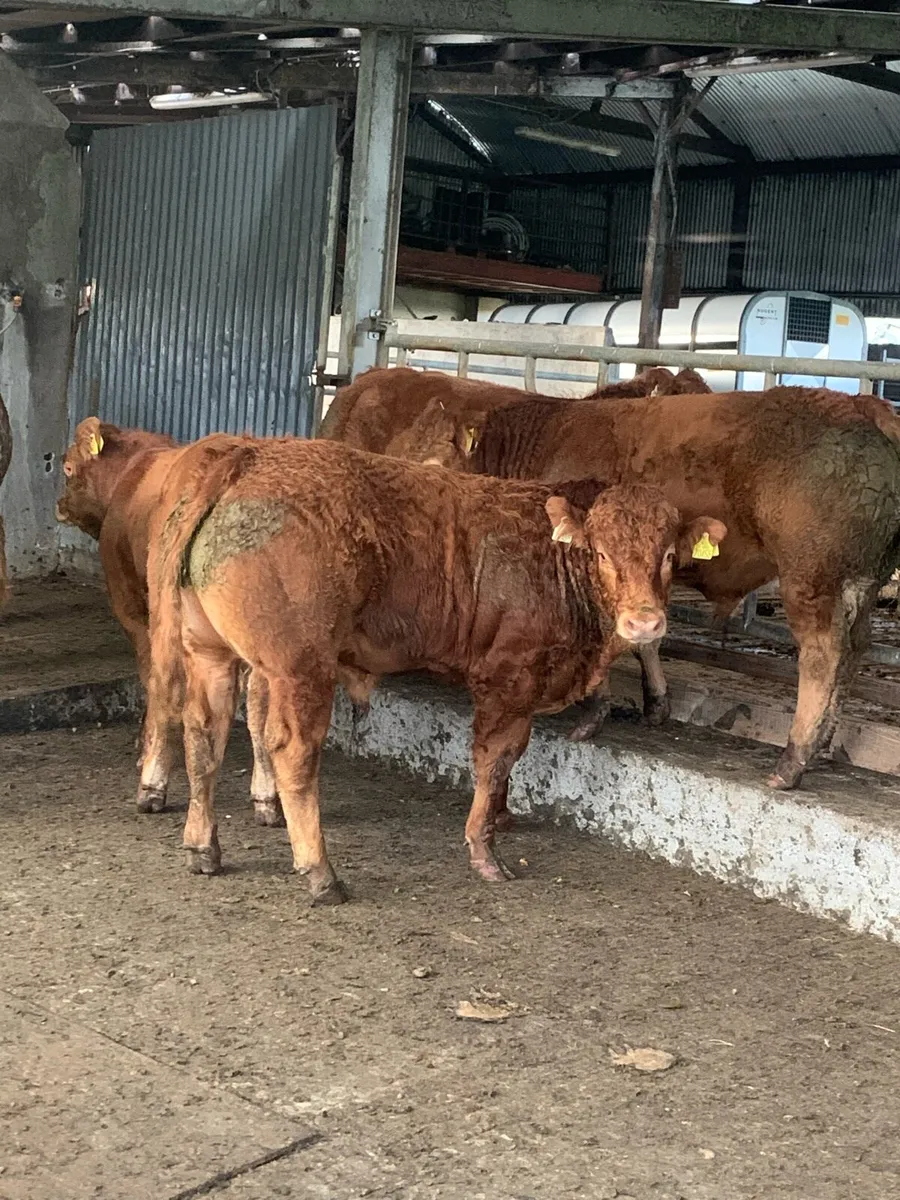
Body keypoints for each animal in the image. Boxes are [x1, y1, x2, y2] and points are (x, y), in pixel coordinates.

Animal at [56, 417, 285, 827]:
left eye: (68, 467)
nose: (59, 506)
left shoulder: (132, 608)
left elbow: (150, 679)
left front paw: (144, 748)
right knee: (260, 703)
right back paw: (267, 798)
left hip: (169, 610)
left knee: (167, 684)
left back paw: (152, 785)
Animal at [143, 435, 725, 902]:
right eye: (602, 554)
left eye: (668, 556)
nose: (644, 621)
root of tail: (248, 456)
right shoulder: (508, 678)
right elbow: (496, 758)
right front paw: (484, 850)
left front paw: (502, 817)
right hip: (300, 667)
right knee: (291, 750)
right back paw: (321, 873)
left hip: (211, 653)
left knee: (205, 736)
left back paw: (203, 847)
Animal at [393, 385, 900, 790]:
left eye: (434, 465)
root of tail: (861, 404)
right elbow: (647, 638)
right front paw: (656, 702)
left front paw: (592, 711)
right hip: (860, 579)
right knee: (854, 649)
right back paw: (824, 743)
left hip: (811, 577)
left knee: (822, 654)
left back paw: (793, 759)